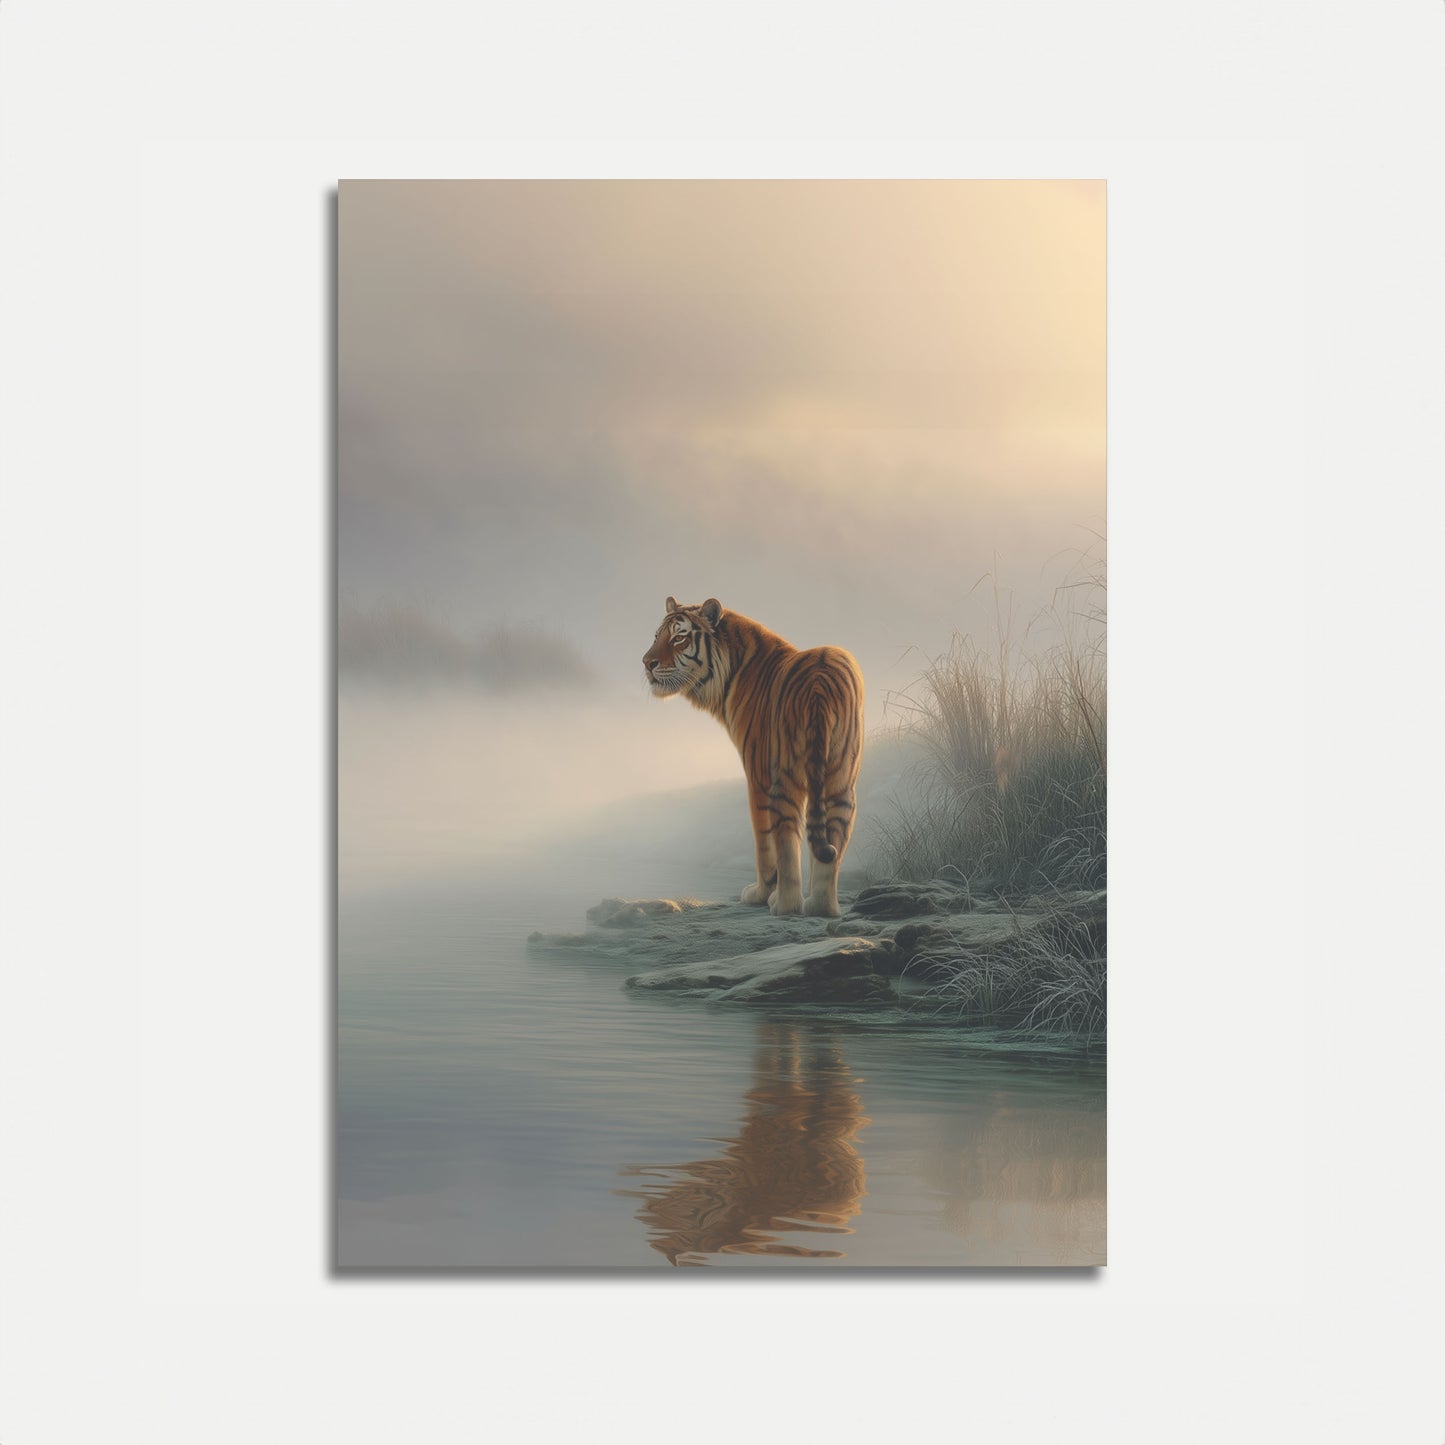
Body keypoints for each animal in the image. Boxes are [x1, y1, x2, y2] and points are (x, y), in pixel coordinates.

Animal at [643, 596, 864, 918]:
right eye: (657, 637)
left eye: (679, 638)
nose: (647, 663)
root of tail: (819, 683)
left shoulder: (757, 774)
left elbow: (764, 844)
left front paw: (759, 894)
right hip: (841, 777)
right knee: (833, 840)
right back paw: (821, 907)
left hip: (784, 777)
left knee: (785, 841)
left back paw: (783, 904)